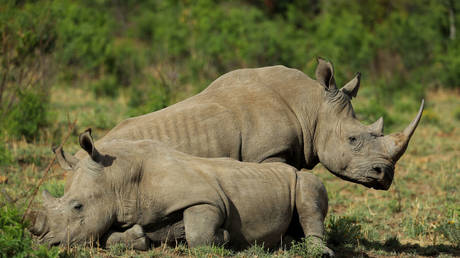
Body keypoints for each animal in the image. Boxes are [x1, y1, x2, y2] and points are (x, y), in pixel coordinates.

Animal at [28, 129, 334, 256]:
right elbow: (106, 238)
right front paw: (140, 238)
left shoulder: (206, 198)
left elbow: (200, 234)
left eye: (77, 206)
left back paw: (317, 251)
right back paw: (286, 243)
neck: (118, 179)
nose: (48, 243)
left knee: (308, 192)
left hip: (301, 179)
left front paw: (224, 238)